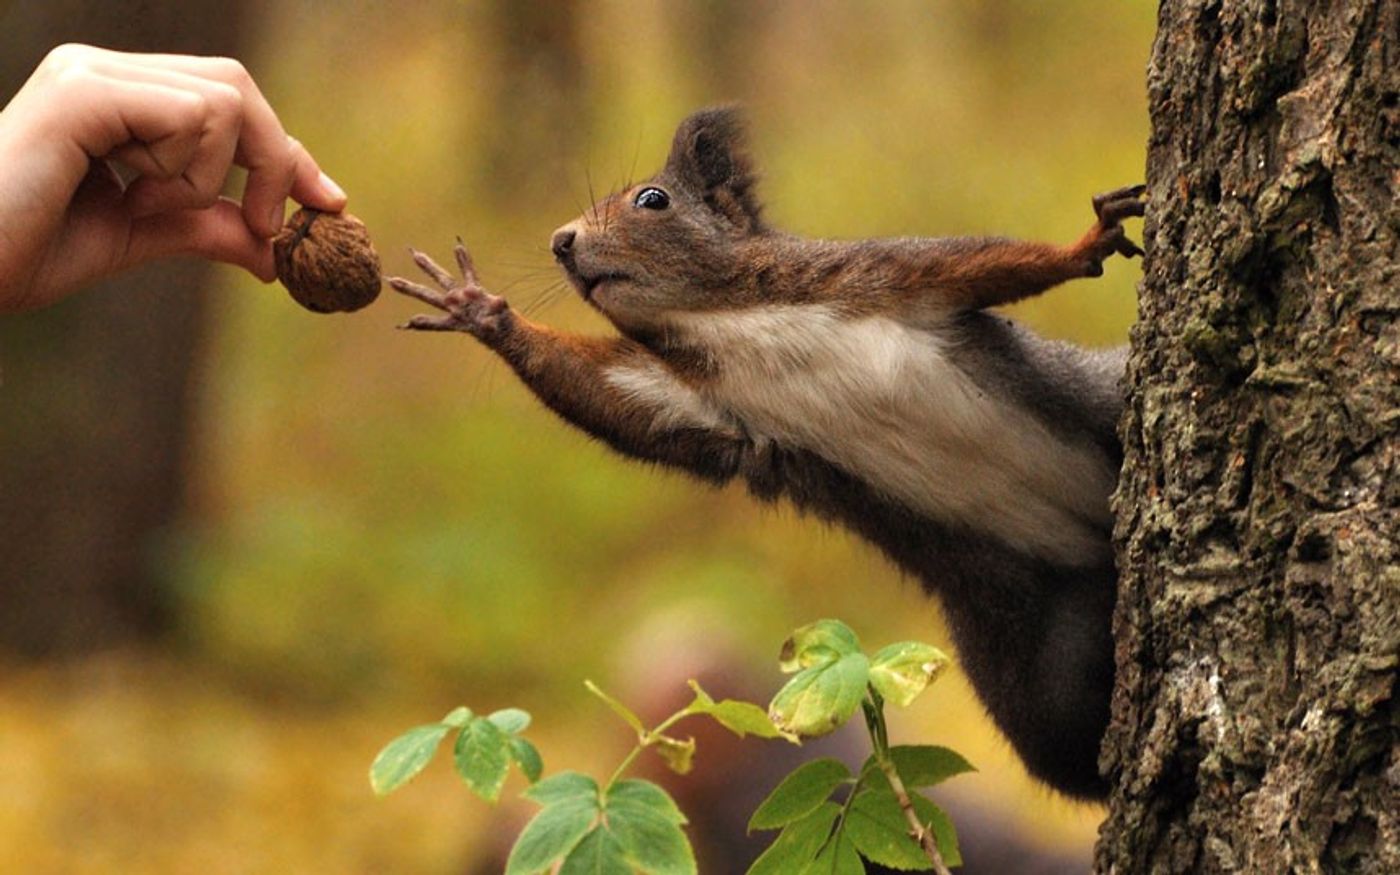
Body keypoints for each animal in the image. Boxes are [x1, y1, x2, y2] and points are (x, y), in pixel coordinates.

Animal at [392, 105, 1148, 795]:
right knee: (1067, 748)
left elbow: (990, 263)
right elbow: (612, 400)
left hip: (1097, 406)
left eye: (653, 199)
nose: (560, 241)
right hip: (1031, 654)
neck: (722, 320)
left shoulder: (881, 274)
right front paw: (481, 312)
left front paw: (1086, 243)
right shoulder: (701, 404)